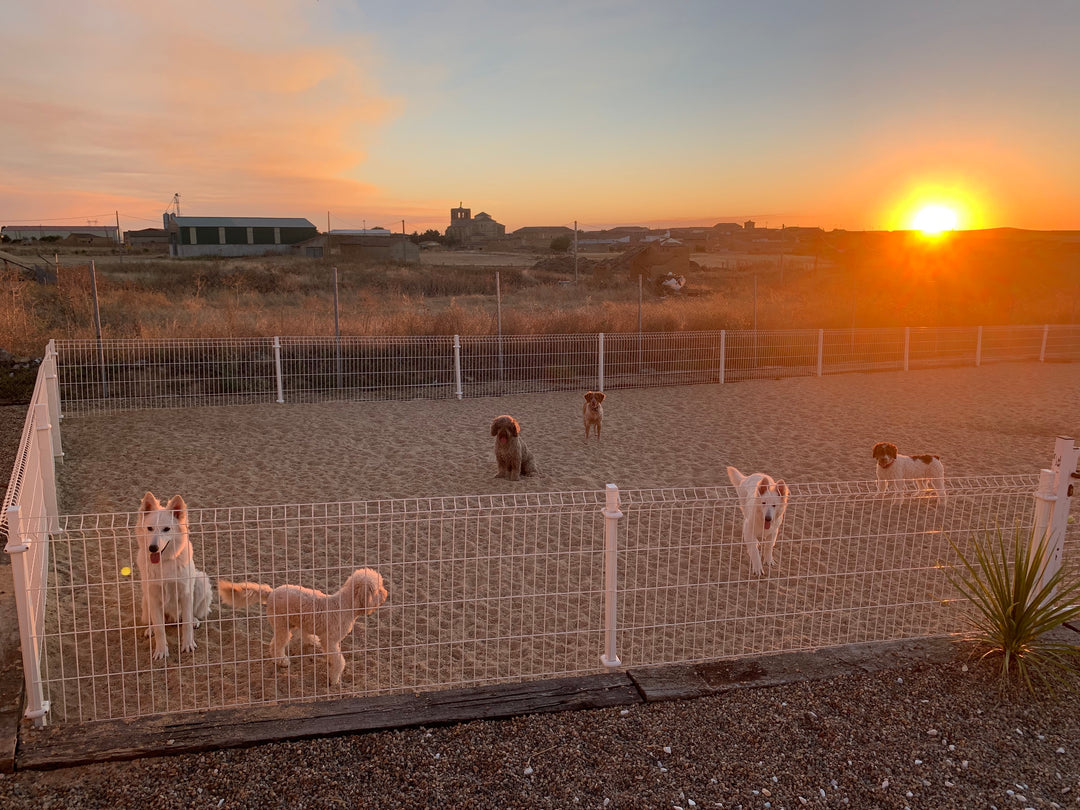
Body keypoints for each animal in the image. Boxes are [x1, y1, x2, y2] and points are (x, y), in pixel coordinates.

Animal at [136, 494, 213, 660]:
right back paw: (151, 629)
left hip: (200, 582)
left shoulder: (185, 593)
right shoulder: (153, 596)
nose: (153, 548)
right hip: (146, 600)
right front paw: (161, 650)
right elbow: (160, 629)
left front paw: (188, 645)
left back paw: (194, 621)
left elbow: (186, 625)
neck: (164, 563)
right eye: (150, 528)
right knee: (155, 622)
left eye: (166, 529)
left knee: (191, 615)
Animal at [216, 565, 388, 686]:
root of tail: (271, 593)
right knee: (277, 645)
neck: (344, 605)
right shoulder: (330, 640)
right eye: (377, 589)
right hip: (282, 625)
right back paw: (282, 661)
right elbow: (340, 661)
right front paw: (334, 679)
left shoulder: (328, 642)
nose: (385, 594)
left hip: (290, 623)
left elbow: (333, 657)